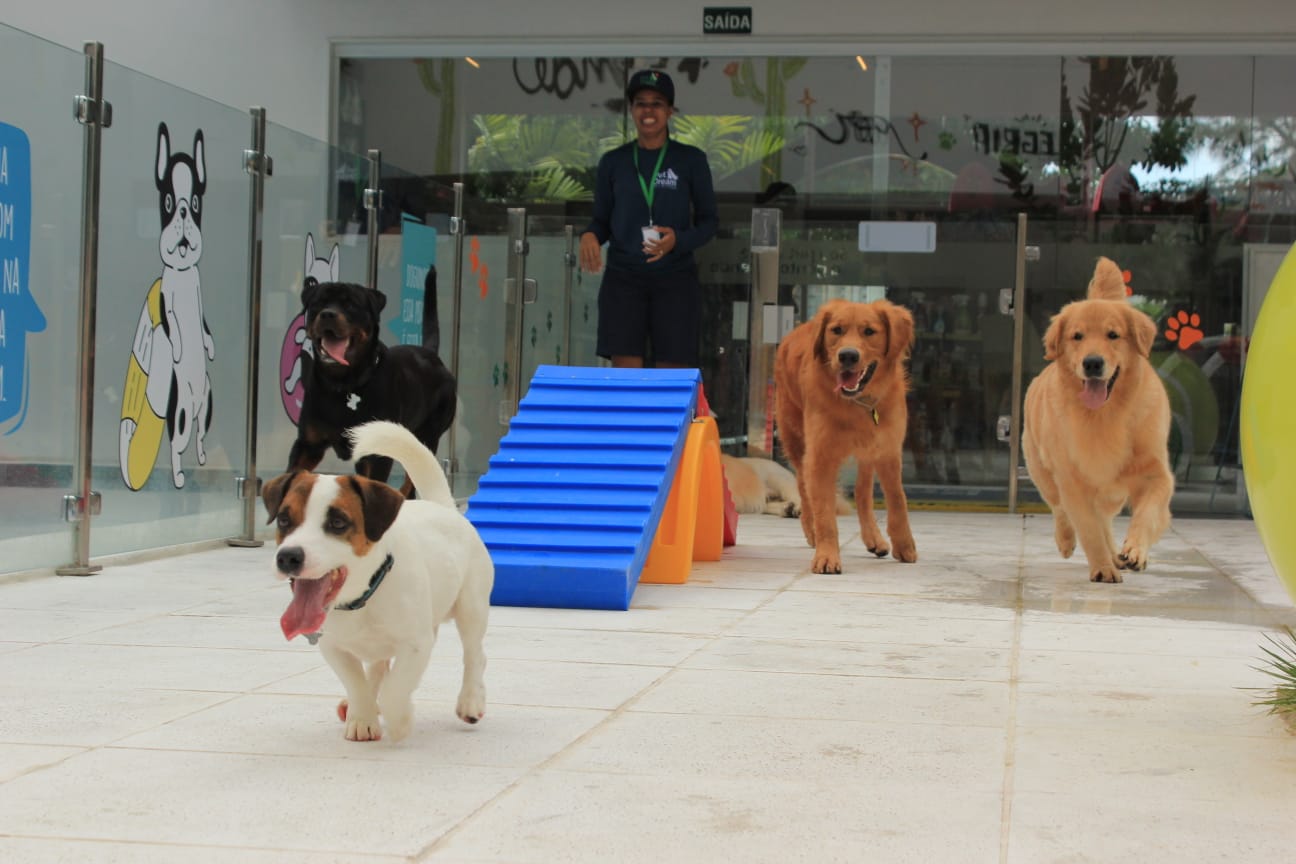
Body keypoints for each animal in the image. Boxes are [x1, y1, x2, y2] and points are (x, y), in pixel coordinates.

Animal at [260, 419, 492, 746]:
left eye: (338, 523)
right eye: (283, 519)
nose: (288, 557)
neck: (364, 597)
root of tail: (443, 506)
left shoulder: (416, 644)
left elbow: (396, 690)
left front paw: (400, 719)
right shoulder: (332, 647)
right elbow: (356, 682)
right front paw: (363, 716)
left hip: (471, 607)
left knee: (474, 655)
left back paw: (470, 700)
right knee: (378, 666)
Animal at [289, 270, 456, 500]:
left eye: (351, 305)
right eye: (318, 303)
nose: (328, 314)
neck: (343, 384)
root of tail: (432, 355)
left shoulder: (377, 454)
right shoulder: (308, 445)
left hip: (427, 436)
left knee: (411, 481)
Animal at [772, 297, 917, 575]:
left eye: (869, 331)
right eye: (836, 330)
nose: (848, 355)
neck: (856, 404)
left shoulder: (887, 448)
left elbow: (898, 499)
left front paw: (904, 544)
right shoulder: (820, 455)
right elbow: (824, 513)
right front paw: (827, 555)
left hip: (868, 450)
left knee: (862, 492)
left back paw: (874, 538)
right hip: (795, 437)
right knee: (803, 486)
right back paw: (810, 529)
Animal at [1021, 255, 1176, 580]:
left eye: (1113, 335)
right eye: (1077, 336)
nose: (1093, 363)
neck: (1105, 415)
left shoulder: (1156, 474)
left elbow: (1147, 514)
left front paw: (1134, 551)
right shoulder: (1073, 481)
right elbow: (1088, 528)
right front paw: (1103, 569)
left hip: (1112, 493)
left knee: (1104, 518)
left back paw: (1118, 554)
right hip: (1042, 470)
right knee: (1060, 509)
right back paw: (1067, 541)